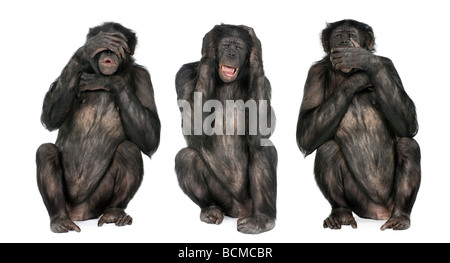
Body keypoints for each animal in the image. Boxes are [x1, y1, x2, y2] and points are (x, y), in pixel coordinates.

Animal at [36, 22, 160, 233]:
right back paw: (59, 219)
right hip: (68, 202)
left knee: (129, 150)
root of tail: (78, 214)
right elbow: (49, 117)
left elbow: (151, 135)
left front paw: (112, 82)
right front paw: (87, 49)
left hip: (96, 203)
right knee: (46, 151)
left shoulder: (144, 77)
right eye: (104, 47)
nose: (109, 51)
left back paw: (114, 213)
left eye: (119, 45)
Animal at [174, 24, 276, 235]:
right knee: (185, 157)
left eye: (238, 47)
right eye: (226, 45)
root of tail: (240, 211)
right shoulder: (183, 76)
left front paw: (256, 52)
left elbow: (260, 134)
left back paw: (262, 219)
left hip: (249, 202)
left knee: (263, 147)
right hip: (225, 202)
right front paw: (208, 46)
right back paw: (210, 210)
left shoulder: (265, 84)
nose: (231, 53)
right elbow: (194, 126)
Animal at [298, 19, 420, 231]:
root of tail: (380, 213)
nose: (345, 42)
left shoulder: (389, 65)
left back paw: (400, 216)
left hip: (389, 201)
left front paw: (363, 61)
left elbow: (408, 123)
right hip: (360, 202)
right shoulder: (314, 74)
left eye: (352, 35)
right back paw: (340, 214)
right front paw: (358, 79)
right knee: (327, 149)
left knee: (408, 145)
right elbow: (305, 131)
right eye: (338, 35)